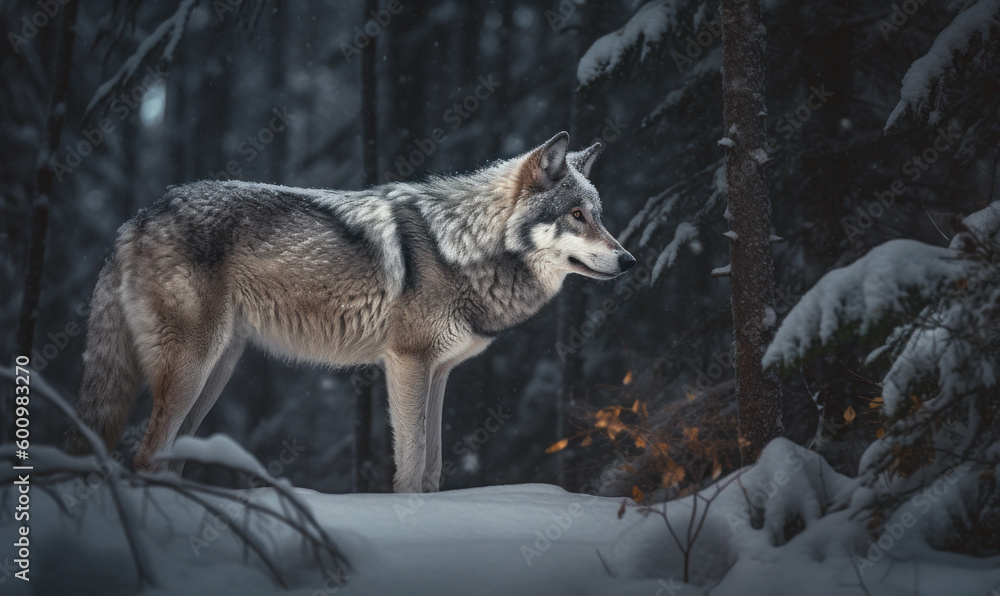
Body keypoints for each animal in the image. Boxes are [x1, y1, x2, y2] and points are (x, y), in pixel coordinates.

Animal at [64, 131, 635, 493]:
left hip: (214, 375)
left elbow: (433, 470)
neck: (462, 246)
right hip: (191, 370)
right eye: (576, 215)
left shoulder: (440, 373)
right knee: (144, 456)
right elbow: (411, 470)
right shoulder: (407, 365)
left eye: (599, 215)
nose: (629, 260)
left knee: (167, 460)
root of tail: (139, 217)